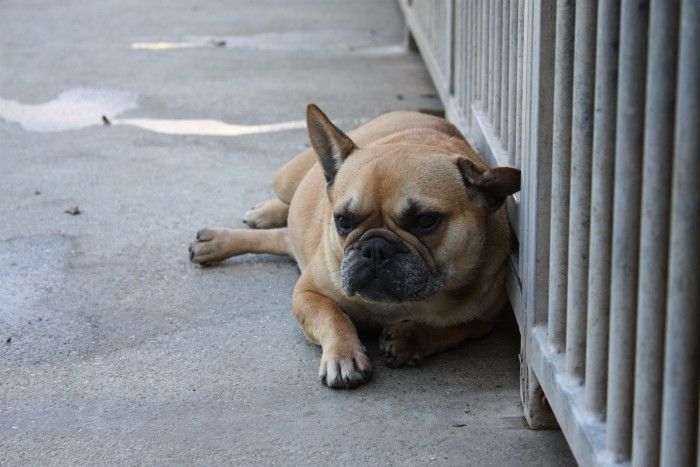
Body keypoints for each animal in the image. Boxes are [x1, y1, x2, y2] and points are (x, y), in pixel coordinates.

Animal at [187, 104, 520, 390]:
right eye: (343, 221)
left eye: (425, 220)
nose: (374, 249)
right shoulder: (307, 292)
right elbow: (333, 316)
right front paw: (343, 356)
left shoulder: (482, 320)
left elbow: (449, 330)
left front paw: (409, 337)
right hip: (286, 179)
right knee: (284, 209)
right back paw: (252, 220)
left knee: (281, 238)